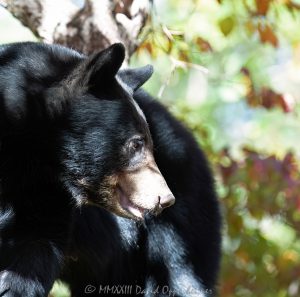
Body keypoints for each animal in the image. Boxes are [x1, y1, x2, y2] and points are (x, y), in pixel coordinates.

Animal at [0, 42, 220, 296]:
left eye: (148, 143)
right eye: (136, 143)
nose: (165, 198)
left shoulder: (48, 193)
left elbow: (36, 248)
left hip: (181, 216)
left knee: (180, 273)